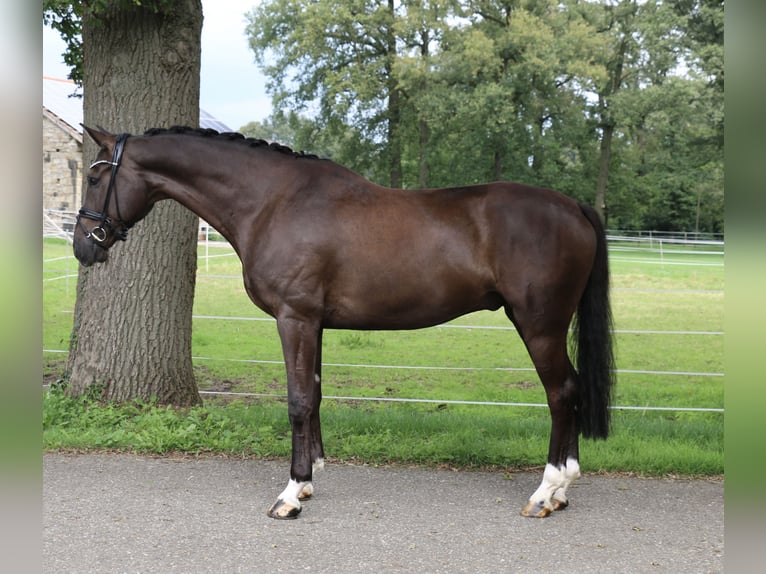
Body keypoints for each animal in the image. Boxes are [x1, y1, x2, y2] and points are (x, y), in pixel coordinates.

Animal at [75, 126, 616, 520]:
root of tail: (573, 206)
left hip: (539, 325)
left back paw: (547, 490)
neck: (273, 202)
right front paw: (308, 481)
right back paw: (561, 491)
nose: (84, 245)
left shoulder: (294, 319)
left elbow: (296, 402)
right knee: (569, 391)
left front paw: (289, 495)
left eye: (96, 178)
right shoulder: (313, 324)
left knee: (561, 393)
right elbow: (313, 395)